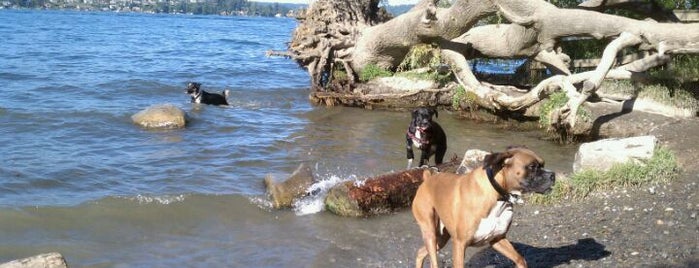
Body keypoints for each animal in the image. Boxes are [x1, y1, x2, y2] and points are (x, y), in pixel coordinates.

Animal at [410, 147, 556, 268]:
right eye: (532, 166)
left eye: (543, 164)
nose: (553, 175)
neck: (498, 197)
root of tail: (427, 179)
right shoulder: (460, 244)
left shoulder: (498, 239)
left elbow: (520, 259)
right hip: (430, 233)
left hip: (441, 239)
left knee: (420, 252)